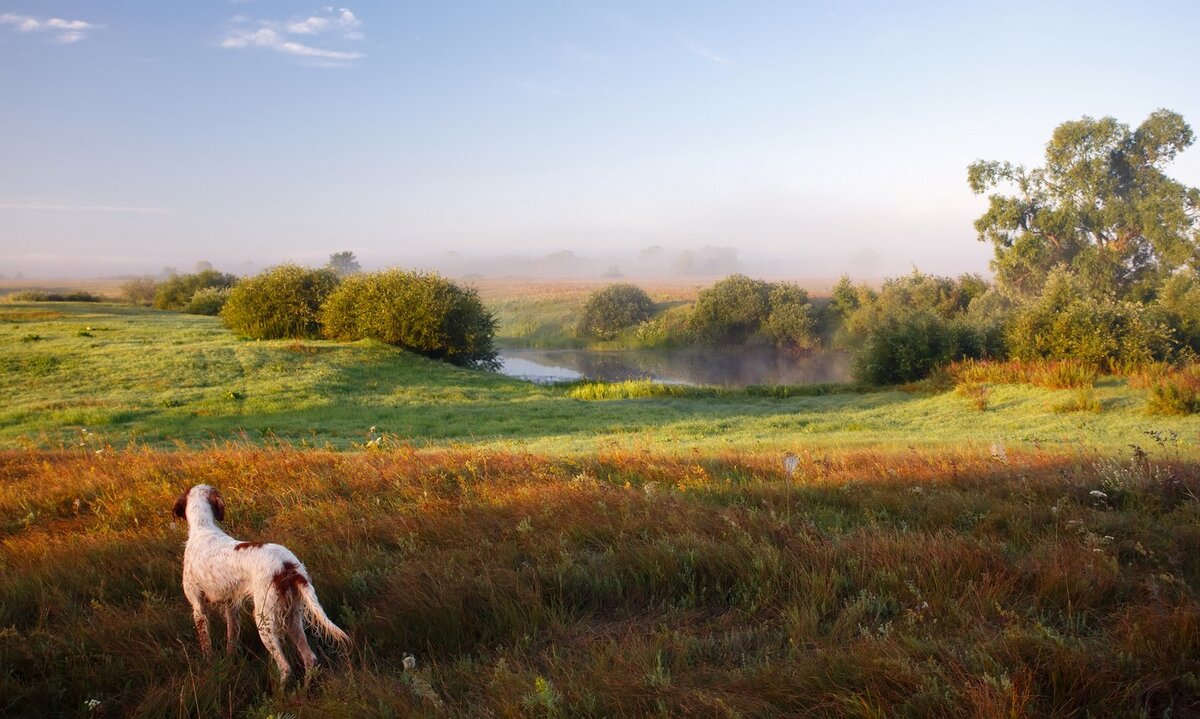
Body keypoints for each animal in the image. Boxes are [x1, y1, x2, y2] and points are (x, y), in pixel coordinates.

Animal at [174, 484, 350, 681]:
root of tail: (287, 565)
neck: (202, 527)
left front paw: (209, 666)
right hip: (292, 616)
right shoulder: (231, 606)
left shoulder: (198, 608)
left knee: (285, 667)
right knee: (309, 657)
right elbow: (231, 638)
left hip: (263, 619)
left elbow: (206, 645)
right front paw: (229, 662)